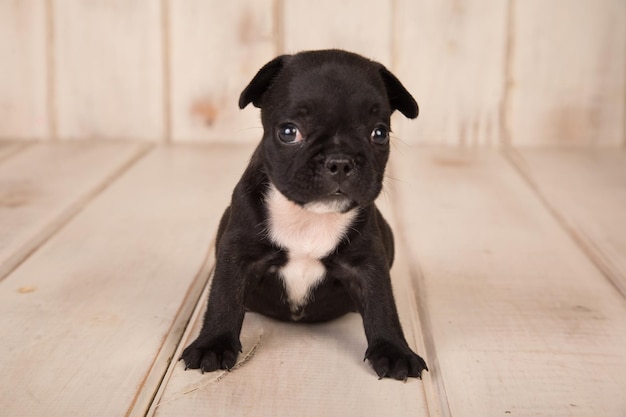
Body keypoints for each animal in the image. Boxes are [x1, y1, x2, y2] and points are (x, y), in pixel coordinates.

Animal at [178, 48, 426, 380]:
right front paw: (213, 345)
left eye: (379, 133)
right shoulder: (237, 253)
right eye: (288, 132)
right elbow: (224, 298)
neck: (309, 217)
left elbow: (382, 304)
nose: (340, 161)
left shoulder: (368, 262)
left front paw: (394, 350)